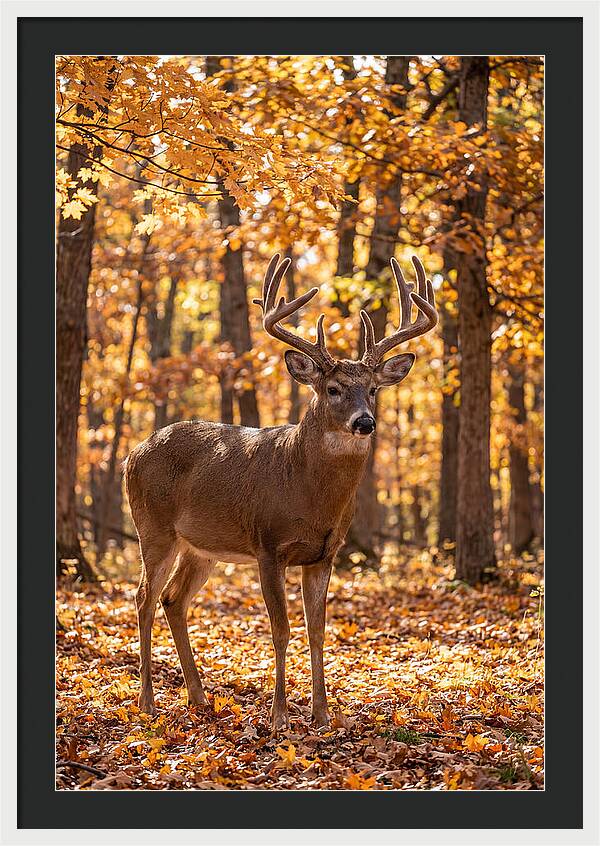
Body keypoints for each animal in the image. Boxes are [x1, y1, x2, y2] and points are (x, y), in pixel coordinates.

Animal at [125, 252, 438, 730]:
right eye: (333, 389)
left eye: (372, 389)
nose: (365, 422)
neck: (307, 493)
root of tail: (132, 454)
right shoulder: (268, 545)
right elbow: (281, 629)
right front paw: (279, 716)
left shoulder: (325, 553)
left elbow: (317, 630)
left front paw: (323, 714)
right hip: (153, 528)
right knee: (144, 597)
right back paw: (147, 702)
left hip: (201, 546)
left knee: (173, 600)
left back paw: (199, 697)